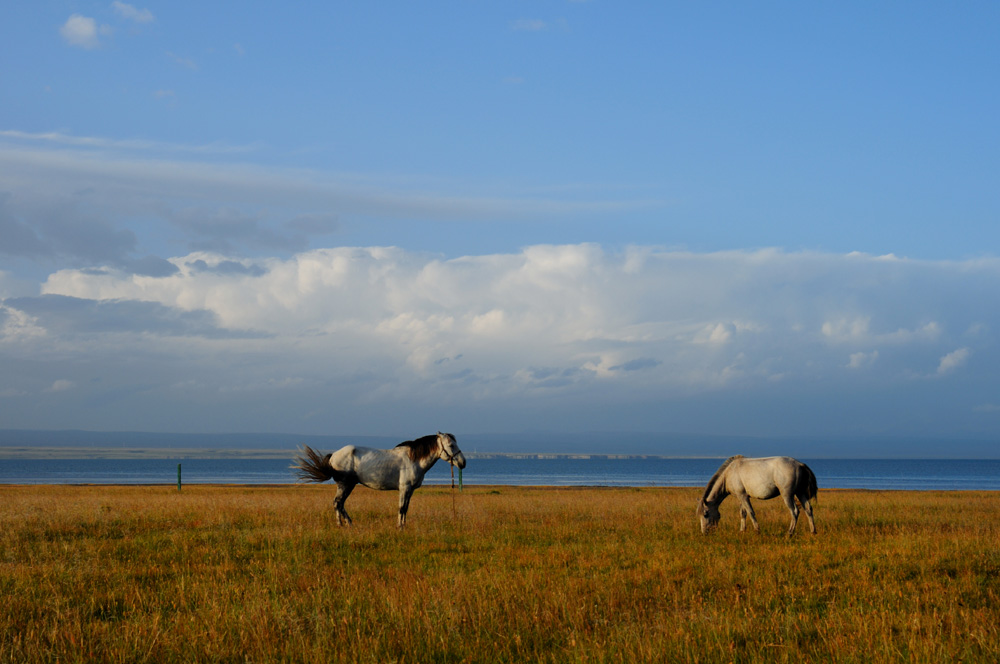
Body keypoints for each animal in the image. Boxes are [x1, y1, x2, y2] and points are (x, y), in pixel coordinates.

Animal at [292, 430, 466, 528]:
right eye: (451, 445)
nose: (463, 463)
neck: (413, 459)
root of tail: (334, 455)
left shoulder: (410, 491)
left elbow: (406, 508)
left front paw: (403, 525)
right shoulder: (404, 488)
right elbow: (401, 508)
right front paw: (399, 527)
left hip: (349, 485)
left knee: (340, 504)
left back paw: (349, 523)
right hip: (344, 484)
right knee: (337, 503)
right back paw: (341, 524)